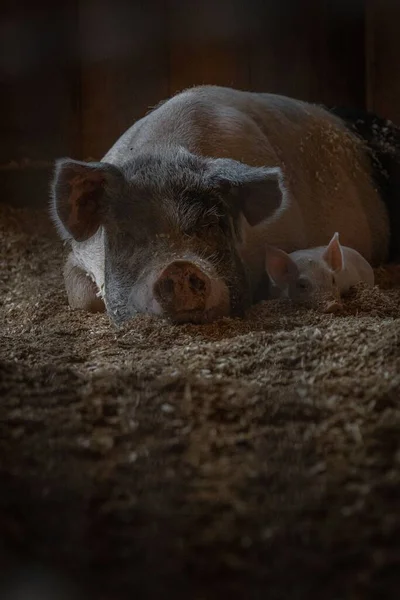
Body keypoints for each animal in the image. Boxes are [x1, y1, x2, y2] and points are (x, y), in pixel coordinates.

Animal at [50, 85, 400, 324]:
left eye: (212, 224)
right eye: (129, 235)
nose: (179, 267)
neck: (166, 153)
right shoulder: (78, 254)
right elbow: (82, 298)